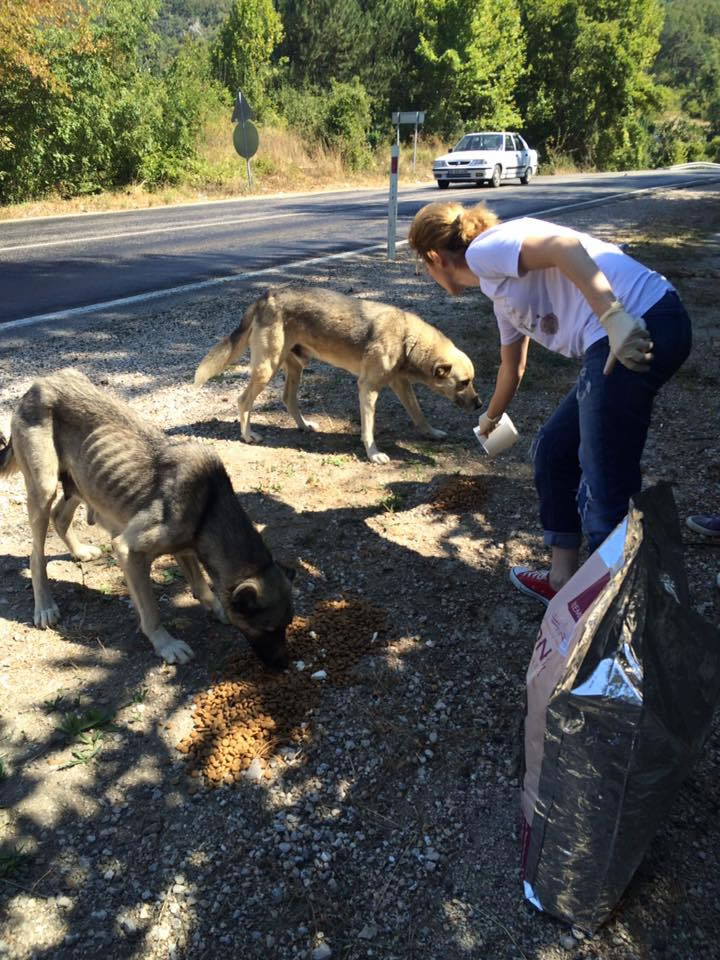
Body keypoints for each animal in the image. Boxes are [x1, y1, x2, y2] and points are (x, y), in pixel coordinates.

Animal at [0, 370, 296, 668]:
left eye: (287, 625)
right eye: (268, 629)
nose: (284, 665)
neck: (210, 506)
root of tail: (38, 385)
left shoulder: (185, 546)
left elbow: (200, 583)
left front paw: (216, 608)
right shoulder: (129, 550)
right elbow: (152, 611)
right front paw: (165, 644)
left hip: (83, 482)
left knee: (60, 516)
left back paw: (79, 551)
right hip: (44, 487)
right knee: (36, 556)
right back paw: (45, 606)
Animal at [194, 284, 480, 464]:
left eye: (472, 381)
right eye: (463, 383)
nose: (479, 404)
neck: (408, 339)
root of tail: (267, 295)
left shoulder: (401, 385)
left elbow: (418, 414)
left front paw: (431, 433)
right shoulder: (368, 388)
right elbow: (369, 428)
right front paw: (373, 454)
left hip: (295, 367)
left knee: (288, 399)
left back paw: (304, 426)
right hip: (267, 368)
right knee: (244, 400)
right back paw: (247, 436)